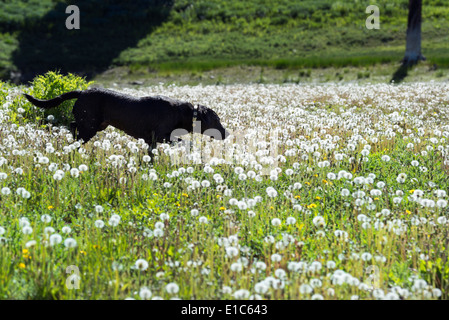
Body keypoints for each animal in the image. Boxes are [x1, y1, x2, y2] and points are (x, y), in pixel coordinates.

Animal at [23, 88, 228, 152]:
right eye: (216, 120)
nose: (227, 133)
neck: (183, 113)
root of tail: (82, 92)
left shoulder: (151, 141)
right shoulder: (162, 136)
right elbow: (184, 142)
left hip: (96, 125)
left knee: (73, 126)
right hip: (90, 126)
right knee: (75, 130)